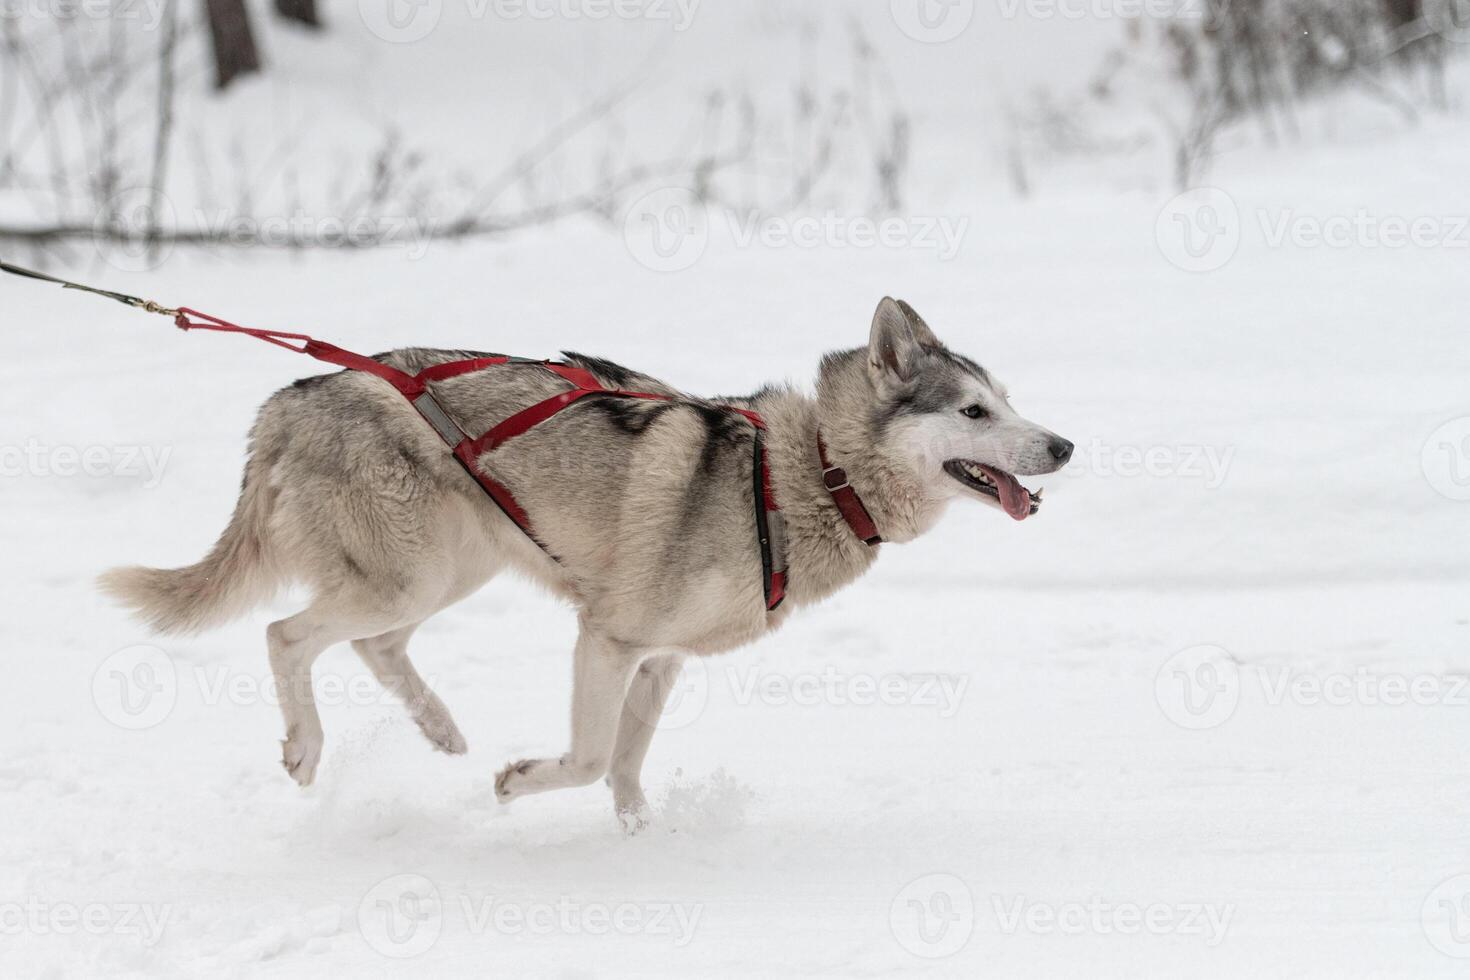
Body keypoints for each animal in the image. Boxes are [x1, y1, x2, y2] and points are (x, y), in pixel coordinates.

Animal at [100, 296, 1070, 828]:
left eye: (1009, 401)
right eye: (974, 412)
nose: (1064, 446)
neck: (806, 473)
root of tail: (291, 397)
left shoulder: (660, 658)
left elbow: (628, 766)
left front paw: (640, 838)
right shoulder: (607, 639)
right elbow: (592, 758)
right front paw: (519, 781)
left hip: (450, 567)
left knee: (376, 645)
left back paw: (440, 729)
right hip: (412, 572)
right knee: (285, 635)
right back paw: (308, 748)